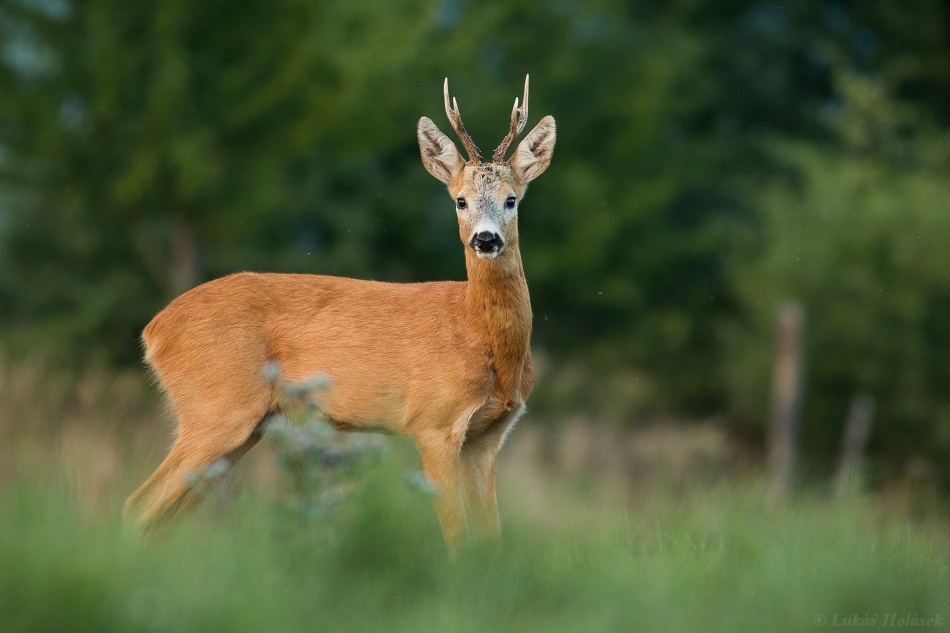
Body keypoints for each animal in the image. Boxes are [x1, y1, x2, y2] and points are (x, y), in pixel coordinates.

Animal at [126, 76, 556, 552]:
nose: (485, 239)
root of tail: (153, 330)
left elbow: (490, 538)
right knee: (139, 504)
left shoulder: (487, 437)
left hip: (243, 424)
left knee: (164, 512)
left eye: (511, 200)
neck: (480, 337)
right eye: (460, 201)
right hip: (216, 407)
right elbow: (458, 538)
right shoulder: (432, 422)